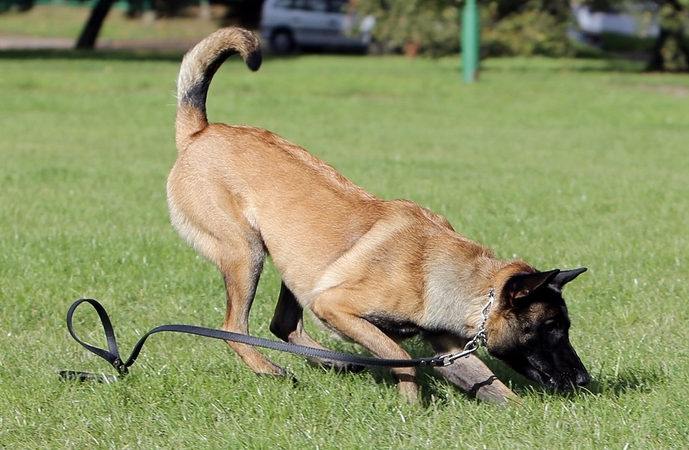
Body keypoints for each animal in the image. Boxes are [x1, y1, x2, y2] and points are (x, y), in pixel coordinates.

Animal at [168, 28, 592, 404]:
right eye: (551, 327)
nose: (583, 380)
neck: (448, 277)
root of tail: (200, 132)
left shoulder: (447, 347)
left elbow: (493, 386)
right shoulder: (335, 306)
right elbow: (400, 355)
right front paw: (410, 404)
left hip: (294, 265)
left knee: (282, 325)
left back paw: (337, 363)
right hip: (247, 252)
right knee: (233, 327)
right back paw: (271, 369)